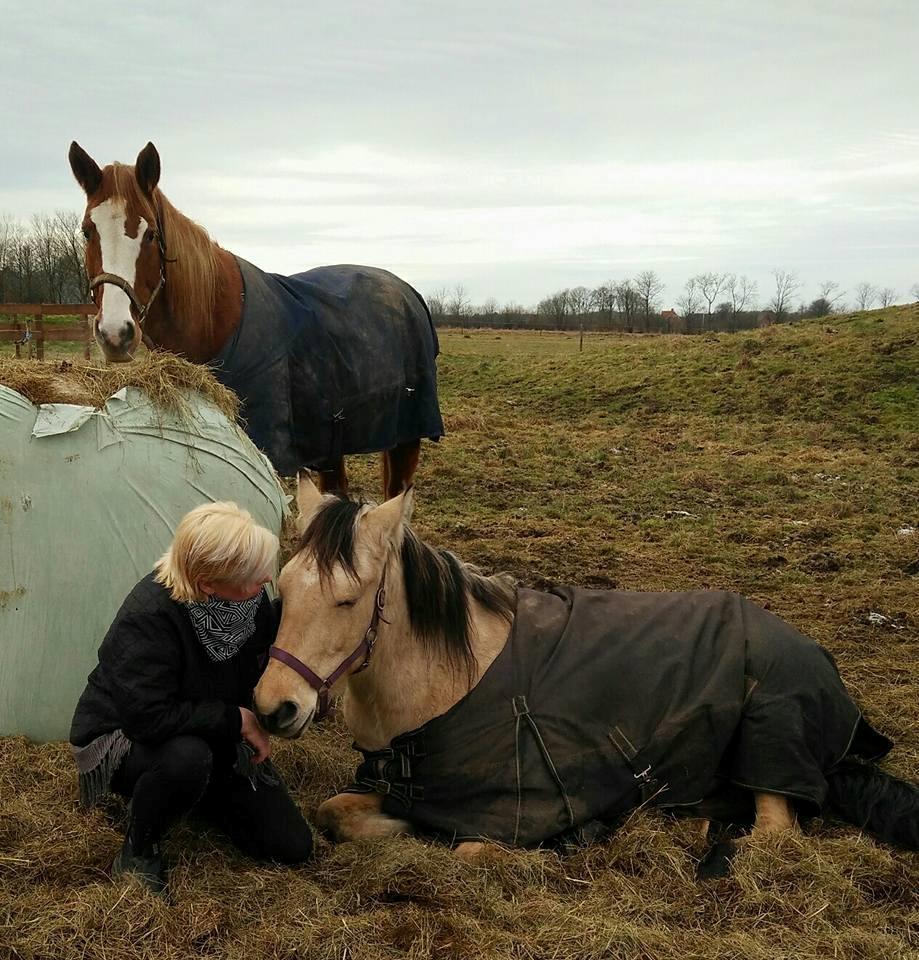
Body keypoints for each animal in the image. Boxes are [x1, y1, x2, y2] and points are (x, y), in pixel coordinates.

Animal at [70, 142, 444, 496]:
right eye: (88, 231)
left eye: (149, 235)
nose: (115, 333)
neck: (217, 319)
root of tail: (408, 291)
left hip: (407, 436)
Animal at [253, 476, 919, 860]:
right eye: (285, 584)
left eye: (348, 599)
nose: (272, 707)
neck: (454, 685)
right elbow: (335, 814)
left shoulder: (507, 819)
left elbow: (472, 850)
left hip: (770, 745)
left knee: (772, 834)